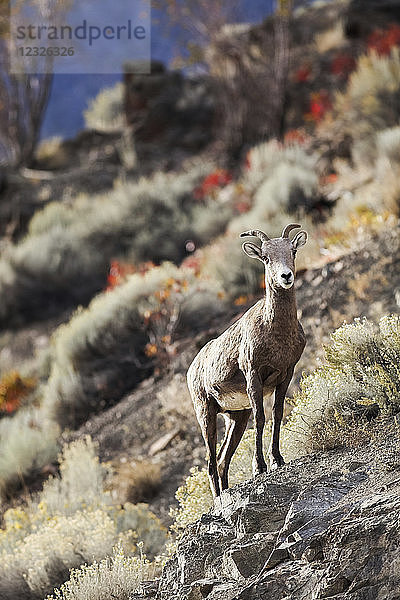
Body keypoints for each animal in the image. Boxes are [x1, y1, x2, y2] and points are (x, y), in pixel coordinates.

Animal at [187, 224, 306, 496]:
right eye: (265, 257)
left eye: (292, 251)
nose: (285, 276)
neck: (276, 332)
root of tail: (192, 369)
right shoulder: (253, 376)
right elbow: (260, 418)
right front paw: (259, 468)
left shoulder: (286, 374)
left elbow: (277, 414)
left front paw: (277, 460)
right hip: (206, 414)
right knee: (211, 463)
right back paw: (219, 500)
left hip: (235, 418)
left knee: (222, 461)